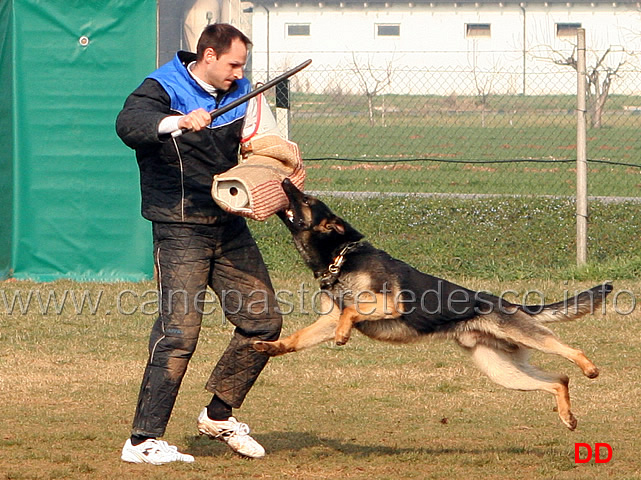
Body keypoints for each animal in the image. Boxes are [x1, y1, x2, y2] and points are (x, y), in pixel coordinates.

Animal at [254, 180, 608, 432]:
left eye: (307, 201)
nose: (285, 179)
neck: (340, 259)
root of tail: (509, 303)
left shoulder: (391, 303)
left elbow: (353, 310)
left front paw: (344, 334)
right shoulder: (327, 320)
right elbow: (298, 338)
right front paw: (273, 346)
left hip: (526, 339)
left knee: (569, 352)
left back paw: (589, 368)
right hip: (502, 371)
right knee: (558, 380)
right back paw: (568, 417)